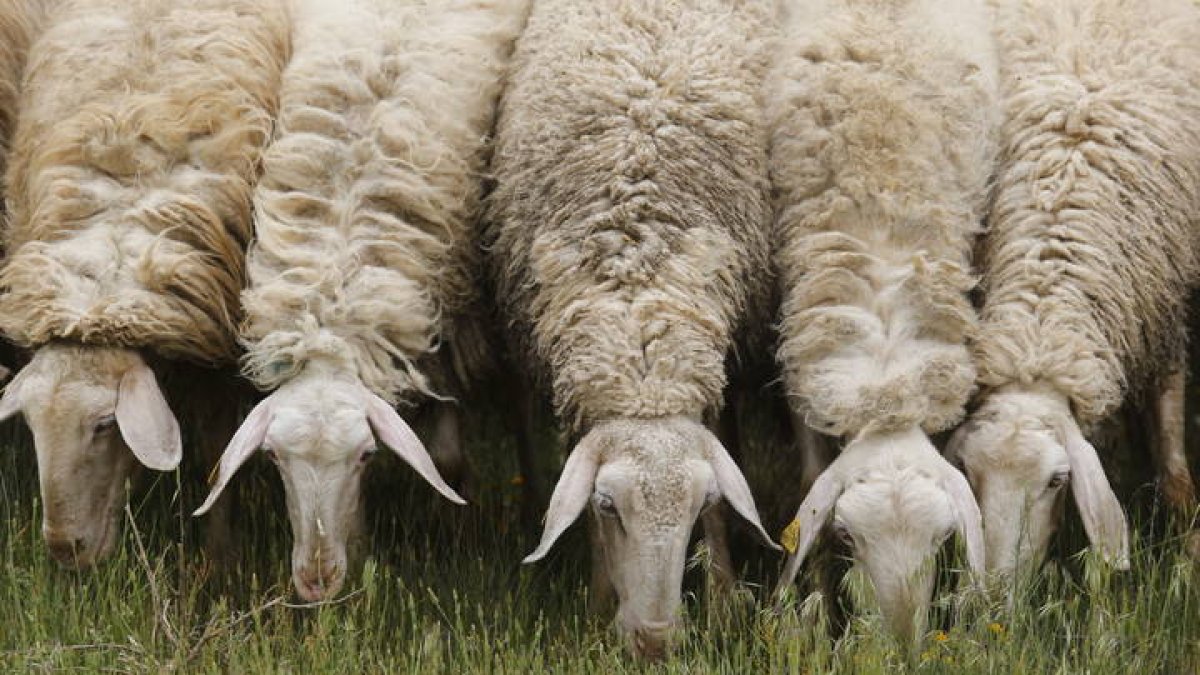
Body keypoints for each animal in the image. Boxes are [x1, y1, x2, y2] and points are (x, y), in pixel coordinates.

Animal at [0, 0, 289, 568]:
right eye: (30, 425)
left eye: (105, 425)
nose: (65, 551)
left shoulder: (216, 351)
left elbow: (219, 448)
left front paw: (219, 558)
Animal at [192, 0, 528, 603]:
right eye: (273, 456)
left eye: (368, 455)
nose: (316, 583)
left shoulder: (451, 318)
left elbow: (448, 457)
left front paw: (454, 536)